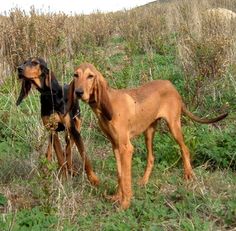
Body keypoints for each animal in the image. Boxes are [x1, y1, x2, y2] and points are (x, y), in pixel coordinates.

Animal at [16, 58, 99, 186]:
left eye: (35, 63)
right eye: (24, 62)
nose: (19, 69)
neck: (49, 96)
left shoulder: (73, 130)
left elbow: (84, 156)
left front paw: (93, 179)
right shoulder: (52, 130)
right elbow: (60, 157)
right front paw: (64, 179)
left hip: (75, 127)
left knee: (68, 150)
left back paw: (72, 170)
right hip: (52, 135)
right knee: (53, 152)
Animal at [71, 62, 227, 208]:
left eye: (90, 76)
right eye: (75, 75)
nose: (78, 92)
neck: (107, 106)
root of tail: (171, 85)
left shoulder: (126, 148)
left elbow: (126, 177)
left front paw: (125, 204)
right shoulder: (115, 145)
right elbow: (120, 174)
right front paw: (116, 197)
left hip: (174, 126)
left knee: (185, 149)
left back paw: (188, 174)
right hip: (149, 132)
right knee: (151, 157)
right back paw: (144, 181)